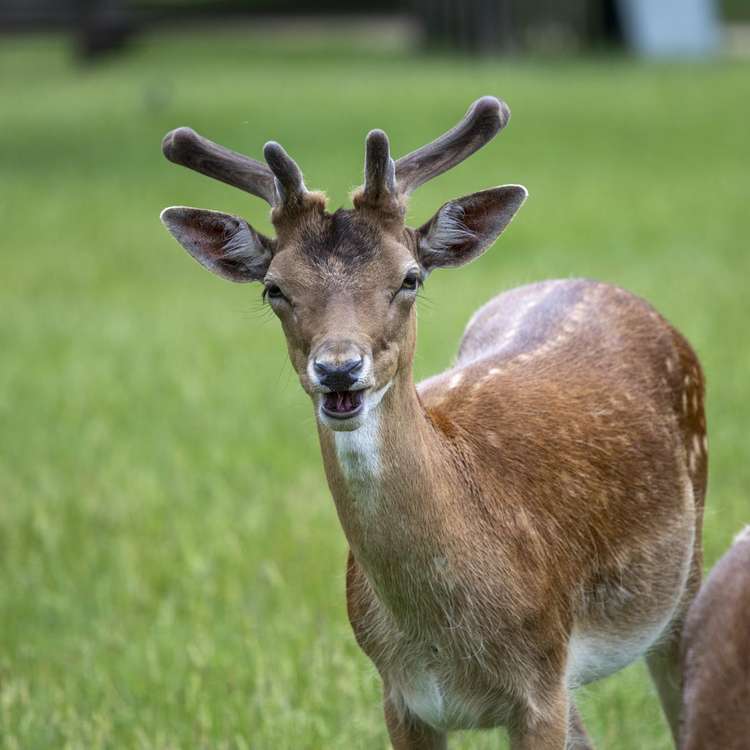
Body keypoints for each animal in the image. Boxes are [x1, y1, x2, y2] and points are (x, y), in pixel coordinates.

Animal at [160, 97, 712, 748]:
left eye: (410, 277)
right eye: (275, 288)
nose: (339, 369)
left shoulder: (542, 683)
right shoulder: (400, 695)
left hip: (685, 578)